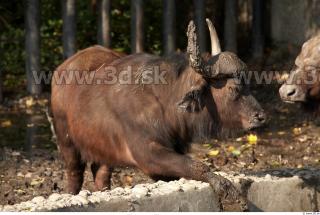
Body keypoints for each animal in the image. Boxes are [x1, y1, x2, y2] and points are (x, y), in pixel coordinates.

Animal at [50, 20, 264, 210]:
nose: (260, 116)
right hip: (67, 144)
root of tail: (61, 70)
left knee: (101, 174)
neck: (165, 104)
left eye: (248, 83)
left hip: (103, 150)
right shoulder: (149, 156)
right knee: (75, 174)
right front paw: (231, 196)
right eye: (233, 87)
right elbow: (197, 166)